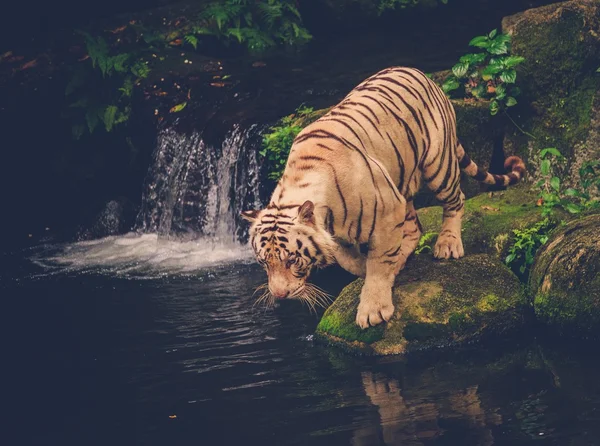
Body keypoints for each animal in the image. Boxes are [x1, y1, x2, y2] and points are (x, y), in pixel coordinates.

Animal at [239, 68, 524, 330]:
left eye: (291, 260)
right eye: (264, 262)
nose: (280, 295)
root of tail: (423, 75)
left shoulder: (387, 212)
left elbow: (378, 263)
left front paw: (373, 308)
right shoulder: (342, 233)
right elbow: (351, 261)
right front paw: (368, 269)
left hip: (438, 166)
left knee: (456, 199)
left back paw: (448, 244)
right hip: (401, 182)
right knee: (414, 227)